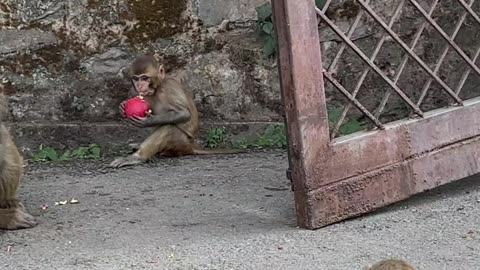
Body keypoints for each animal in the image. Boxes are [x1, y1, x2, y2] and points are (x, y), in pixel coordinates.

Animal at [110, 55, 242, 168]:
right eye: (136, 79)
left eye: (144, 78)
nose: (139, 86)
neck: (158, 88)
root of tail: (191, 147)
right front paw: (122, 106)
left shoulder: (169, 88)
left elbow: (184, 113)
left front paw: (148, 121)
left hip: (180, 144)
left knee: (169, 127)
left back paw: (138, 157)